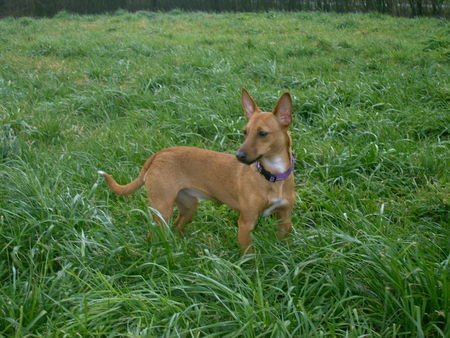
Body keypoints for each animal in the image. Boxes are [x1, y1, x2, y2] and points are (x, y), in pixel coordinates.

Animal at [98, 90, 296, 254]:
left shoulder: (284, 219)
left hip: (188, 207)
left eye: (262, 133)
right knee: (153, 234)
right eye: (244, 133)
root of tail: (160, 153)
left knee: (176, 227)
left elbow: (283, 245)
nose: (239, 156)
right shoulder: (246, 224)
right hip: (162, 210)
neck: (272, 175)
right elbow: (249, 257)